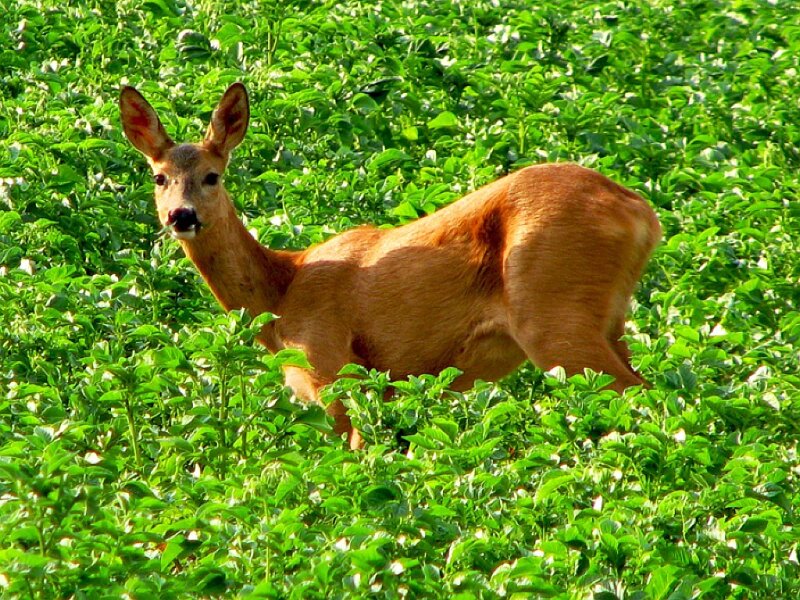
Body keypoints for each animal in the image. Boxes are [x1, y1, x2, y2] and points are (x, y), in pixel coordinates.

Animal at [119, 82, 661, 449]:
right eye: (159, 177)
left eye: (212, 176)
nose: (181, 216)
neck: (283, 292)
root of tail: (641, 214)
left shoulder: (333, 367)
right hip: (609, 317)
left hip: (553, 309)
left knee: (638, 393)